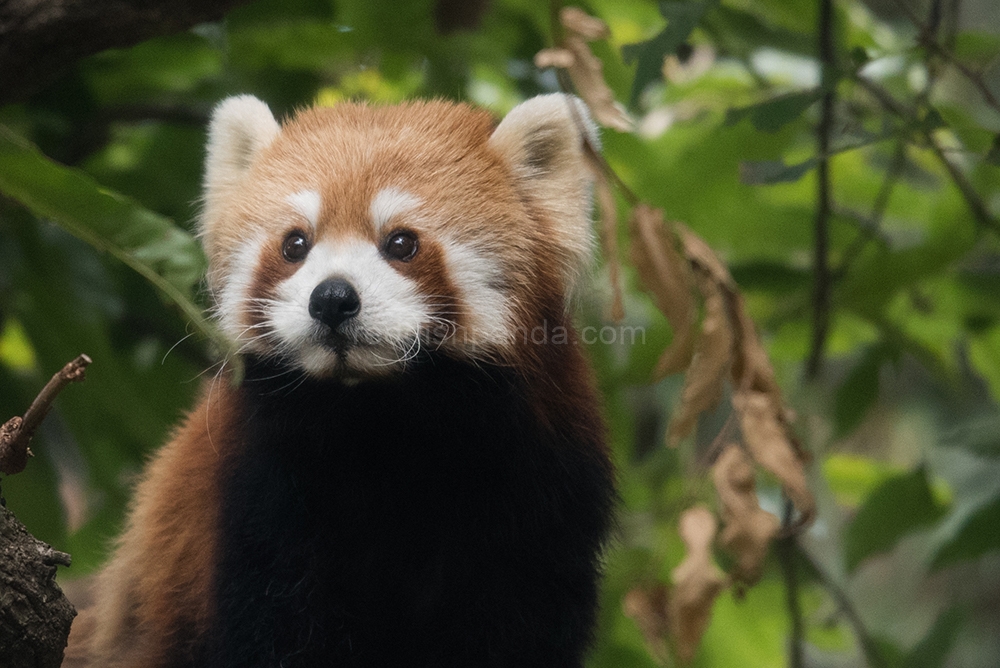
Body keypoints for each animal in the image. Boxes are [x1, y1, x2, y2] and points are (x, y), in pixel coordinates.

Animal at [64, 92, 616, 668]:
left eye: (401, 242)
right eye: (295, 244)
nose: (331, 298)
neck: (374, 420)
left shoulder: (541, 492)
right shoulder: (254, 494)